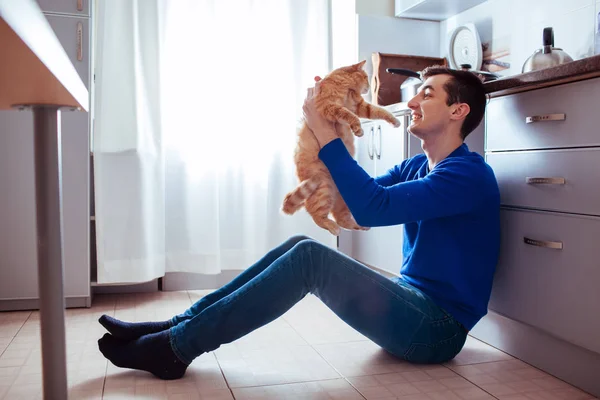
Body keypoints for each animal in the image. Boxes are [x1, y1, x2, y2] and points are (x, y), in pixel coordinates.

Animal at [282, 59, 404, 234]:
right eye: (366, 77)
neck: (345, 87)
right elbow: (349, 115)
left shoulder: (359, 106)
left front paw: (394, 120)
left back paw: (359, 225)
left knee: (341, 218)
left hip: (344, 198)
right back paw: (332, 227)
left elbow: (378, 111)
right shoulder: (329, 106)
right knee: (316, 214)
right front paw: (358, 128)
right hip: (322, 189)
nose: (369, 86)